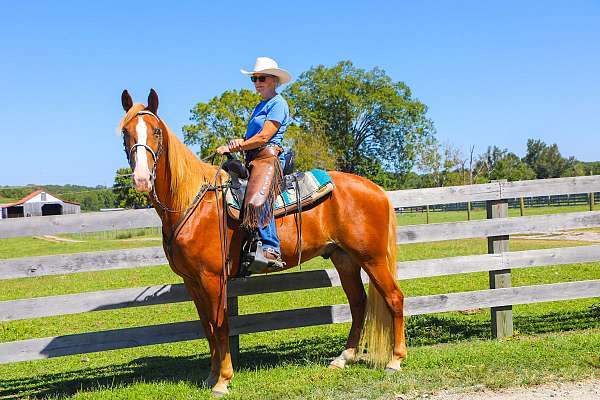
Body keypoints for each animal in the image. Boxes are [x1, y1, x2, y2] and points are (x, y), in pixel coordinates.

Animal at [118, 89, 408, 396]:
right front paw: (211, 376)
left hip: (372, 258)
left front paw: (223, 380)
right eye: (125, 132)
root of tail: (376, 189)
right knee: (358, 303)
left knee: (394, 298)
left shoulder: (212, 278)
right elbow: (207, 327)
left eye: (156, 131)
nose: (141, 179)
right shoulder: (192, 280)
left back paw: (395, 360)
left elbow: (220, 325)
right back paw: (343, 358)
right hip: (345, 259)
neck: (194, 202)